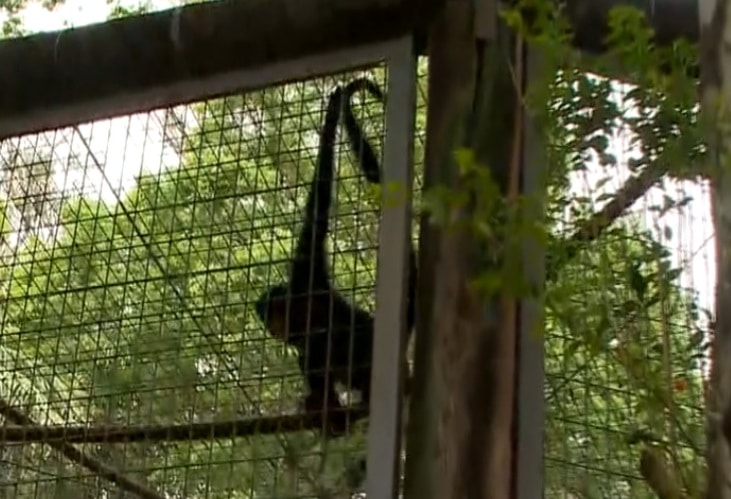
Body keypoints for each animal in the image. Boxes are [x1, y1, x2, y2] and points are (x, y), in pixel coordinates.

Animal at [256, 78, 418, 438]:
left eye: (270, 316)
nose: (272, 330)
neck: (298, 308)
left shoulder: (307, 271)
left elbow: (318, 207)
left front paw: (332, 115)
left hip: (366, 346)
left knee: (323, 345)